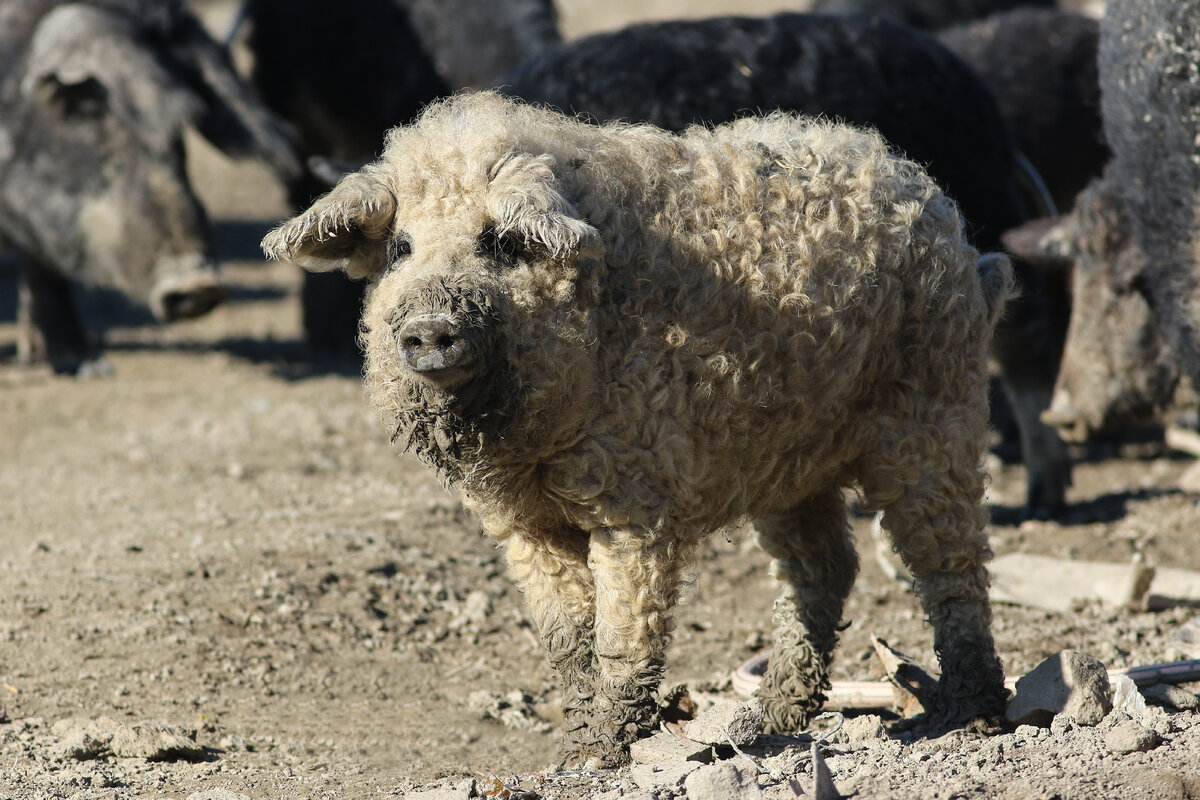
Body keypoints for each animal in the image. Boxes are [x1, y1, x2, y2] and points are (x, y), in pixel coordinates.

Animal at [1, 0, 296, 376]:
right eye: (86, 110)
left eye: (177, 127)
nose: (198, 284)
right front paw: (82, 366)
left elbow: (40, 259)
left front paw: (84, 364)